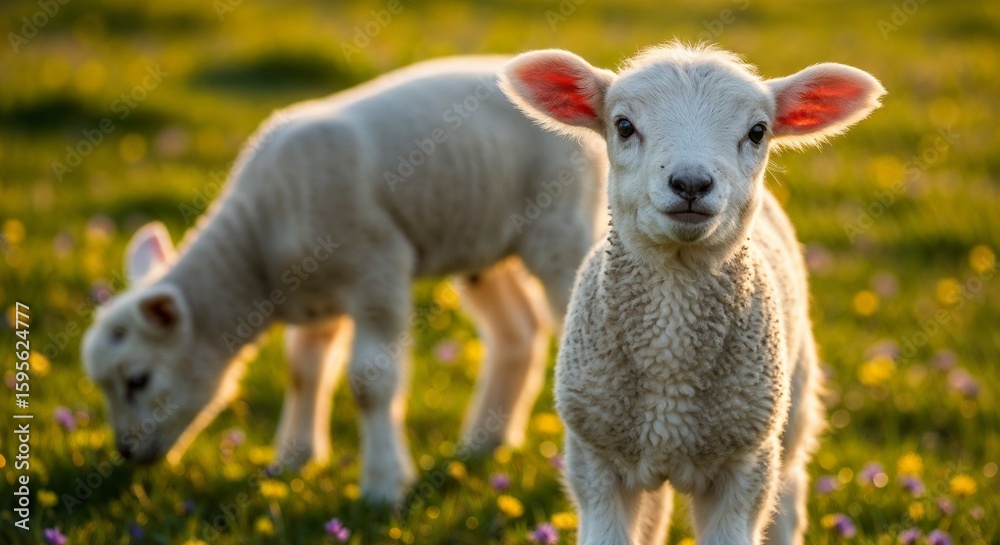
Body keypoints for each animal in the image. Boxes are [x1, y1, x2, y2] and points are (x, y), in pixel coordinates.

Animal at [81, 55, 608, 504]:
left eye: (138, 379)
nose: (126, 453)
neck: (256, 247)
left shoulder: (376, 267)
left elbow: (370, 381)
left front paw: (382, 485)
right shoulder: (315, 297)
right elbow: (304, 372)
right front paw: (294, 461)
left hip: (559, 225)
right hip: (485, 241)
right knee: (515, 333)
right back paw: (485, 441)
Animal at [500, 43, 884, 545]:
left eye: (757, 131)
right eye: (623, 125)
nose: (690, 183)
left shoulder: (745, 466)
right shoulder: (593, 459)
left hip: (790, 410)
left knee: (789, 496)